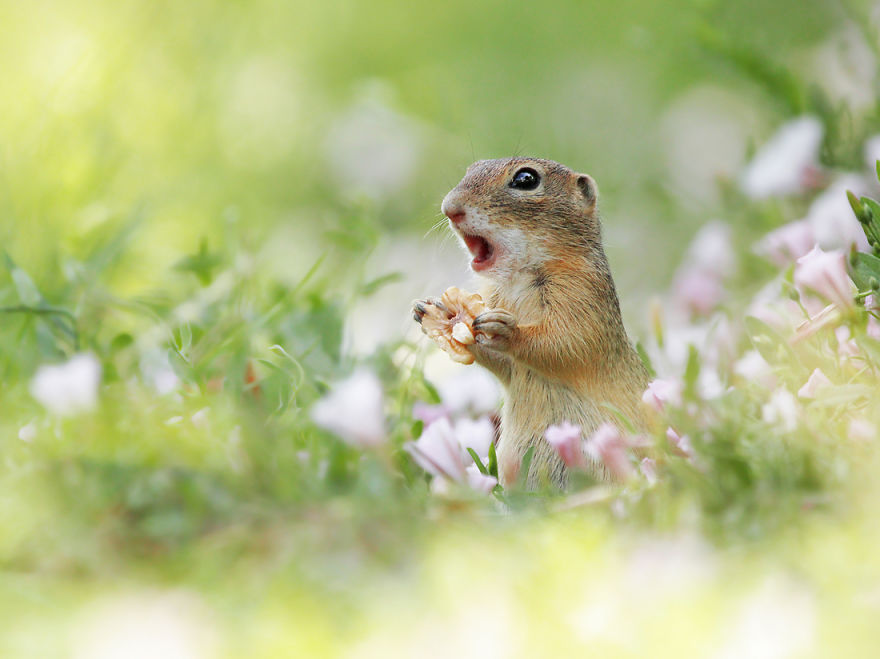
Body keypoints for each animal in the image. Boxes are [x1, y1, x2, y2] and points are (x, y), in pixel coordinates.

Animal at [412, 157, 648, 488]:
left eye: (526, 179)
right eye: (473, 167)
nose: (449, 208)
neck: (517, 278)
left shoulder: (582, 295)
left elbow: (566, 343)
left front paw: (506, 331)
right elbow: (505, 364)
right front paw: (432, 312)